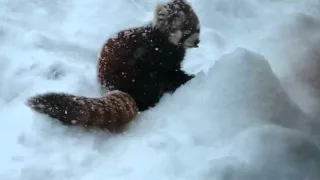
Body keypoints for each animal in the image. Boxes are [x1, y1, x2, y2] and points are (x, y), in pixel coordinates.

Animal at [26, 0, 200, 132]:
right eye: (187, 31)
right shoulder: (156, 54)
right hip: (134, 75)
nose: (197, 42)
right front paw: (188, 79)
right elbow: (169, 74)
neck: (165, 39)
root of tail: (109, 87)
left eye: (197, 28)